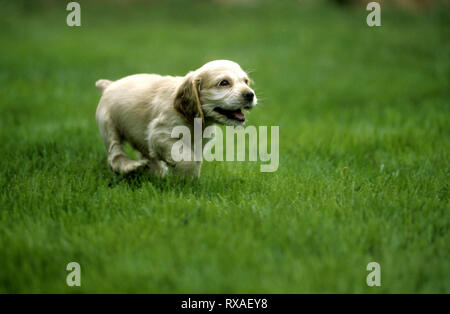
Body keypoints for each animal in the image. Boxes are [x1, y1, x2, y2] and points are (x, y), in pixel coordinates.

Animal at [95, 59, 256, 177]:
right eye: (224, 83)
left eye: (246, 81)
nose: (250, 94)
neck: (194, 119)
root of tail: (109, 85)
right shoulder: (160, 134)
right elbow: (187, 159)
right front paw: (187, 180)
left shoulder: (199, 142)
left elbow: (194, 159)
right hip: (108, 125)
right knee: (115, 154)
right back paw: (131, 167)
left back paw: (155, 172)